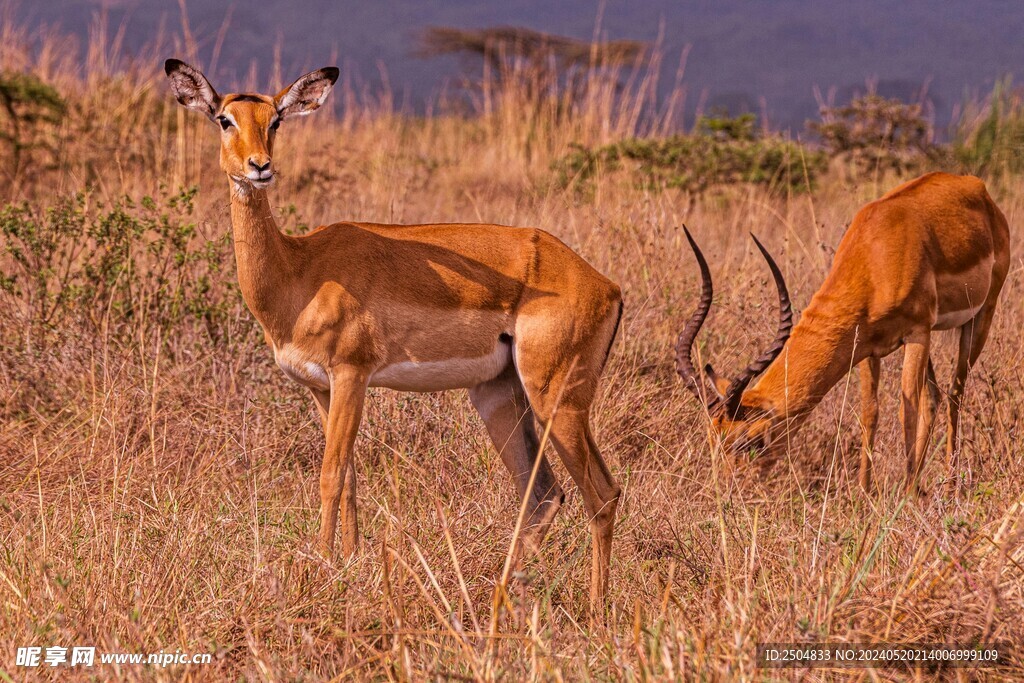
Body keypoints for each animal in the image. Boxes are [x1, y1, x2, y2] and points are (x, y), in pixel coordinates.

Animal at [164, 59, 623, 611]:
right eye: (224, 119)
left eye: (275, 119)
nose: (259, 167)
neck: (300, 270)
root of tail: (605, 284)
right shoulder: (322, 387)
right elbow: (350, 477)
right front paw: (348, 561)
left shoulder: (351, 375)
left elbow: (330, 475)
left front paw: (322, 569)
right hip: (498, 396)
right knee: (544, 496)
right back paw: (502, 595)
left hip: (557, 398)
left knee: (602, 494)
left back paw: (595, 609)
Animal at [676, 172, 1010, 494]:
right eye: (713, 439)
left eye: (751, 441)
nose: (728, 491)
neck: (876, 255)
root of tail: (978, 188)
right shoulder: (866, 345)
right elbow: (870, 413)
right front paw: (863, 495)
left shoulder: (918, 332)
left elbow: (906, 411)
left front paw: (908, 498)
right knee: (934, 397)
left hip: (980, 317)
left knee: (955, 395)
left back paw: (949, 486)